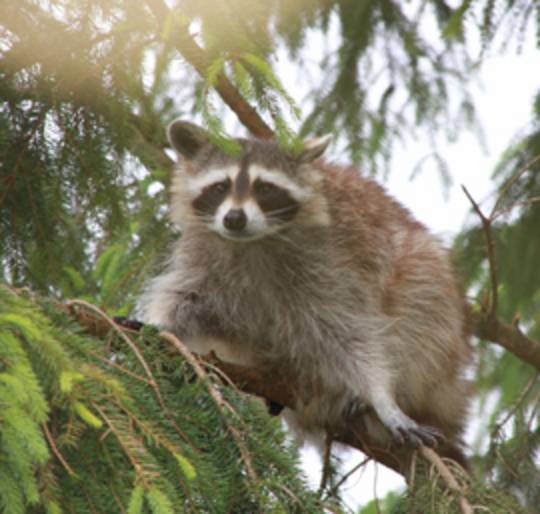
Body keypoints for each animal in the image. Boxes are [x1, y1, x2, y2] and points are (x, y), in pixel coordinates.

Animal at [139, 121, 472, 464]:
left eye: (264, 188)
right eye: (220, 187)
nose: (234, 218)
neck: (252, 241)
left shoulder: (330, 265)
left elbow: (351, 333)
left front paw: (381, 396)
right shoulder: (202, 255)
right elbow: (185, 297)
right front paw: (158, 324)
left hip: (434, 307)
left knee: (420, 303)